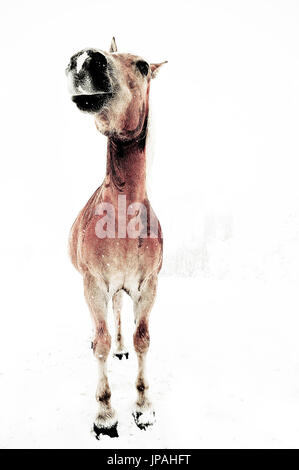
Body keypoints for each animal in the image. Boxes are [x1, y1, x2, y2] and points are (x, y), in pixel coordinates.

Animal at [66, 38, 166, 438]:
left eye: (143, 66)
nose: (85, 60)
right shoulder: (93, 284)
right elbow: (101, 343)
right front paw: (105, 415)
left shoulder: (147, 285)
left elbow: (142, 339)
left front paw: (143, 408)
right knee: (106, 325)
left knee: (120, 314)